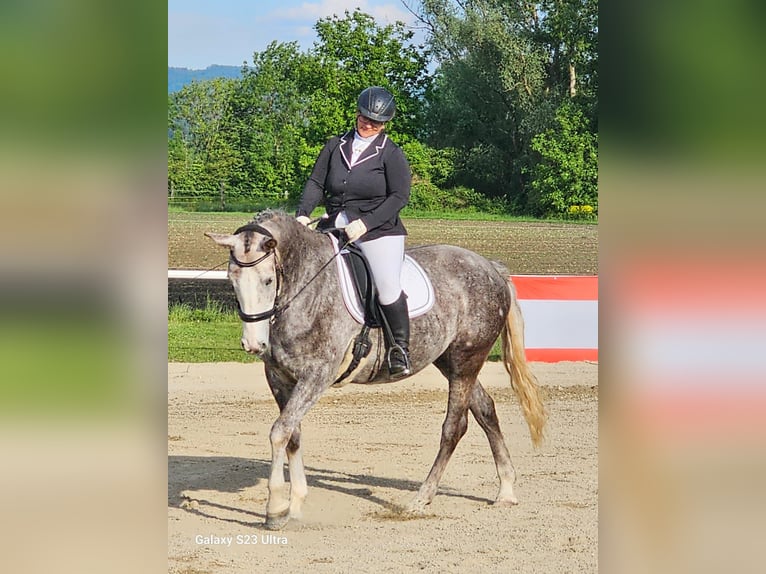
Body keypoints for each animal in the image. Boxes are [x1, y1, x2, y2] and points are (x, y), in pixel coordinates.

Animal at [206, 210, 546, 530]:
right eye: (231, 279)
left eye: (267, 280)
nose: (254, 344)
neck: (304, 289)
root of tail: (490, 267)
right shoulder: (279, 378)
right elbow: (292, 433)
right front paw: (296, 503)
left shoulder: (317, 375)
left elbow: (279, 432)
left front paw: (275, 509)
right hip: (451, 361)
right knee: (485, 409)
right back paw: (506, 489)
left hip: (466, 360)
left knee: (454, 427)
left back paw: (421, 498)